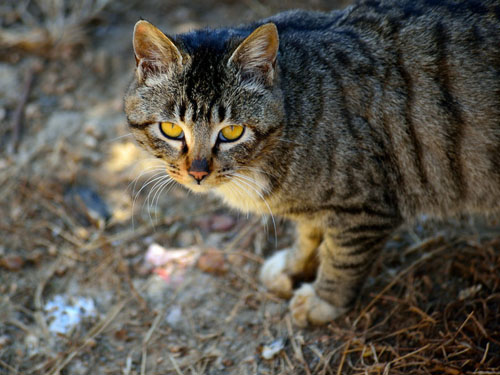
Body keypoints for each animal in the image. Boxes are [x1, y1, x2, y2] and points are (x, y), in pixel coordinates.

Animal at [124, 0, 500, 328]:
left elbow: (343, 258)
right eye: (172, 129)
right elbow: (308, 234)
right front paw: (294, 266)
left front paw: (324, 300)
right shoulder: (320, 206)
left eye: (231, 132)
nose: (198, 172)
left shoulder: (365, 208)